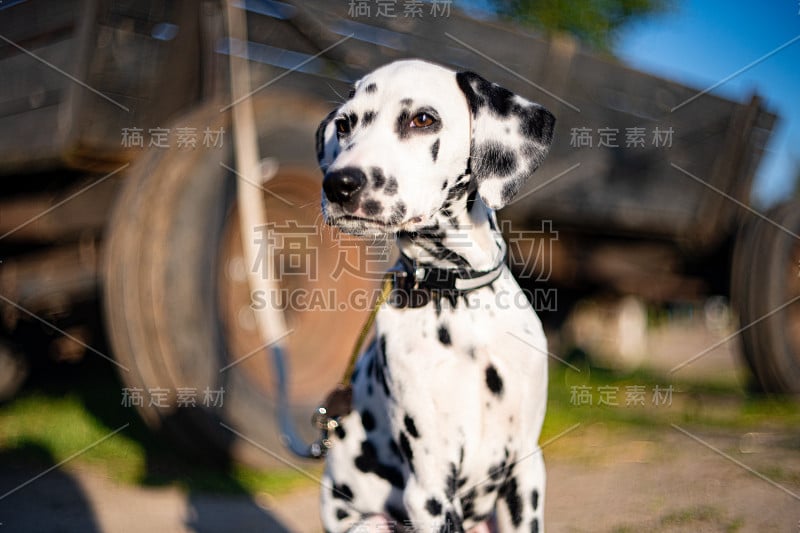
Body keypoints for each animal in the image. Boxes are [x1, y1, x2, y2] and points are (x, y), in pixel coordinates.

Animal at [316, 59, 552, 532]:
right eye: (345, 124)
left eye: (422, 119)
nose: (339, 184)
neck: (458, 299)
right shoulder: (430, 489)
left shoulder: (525, 470)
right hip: (375, 524)